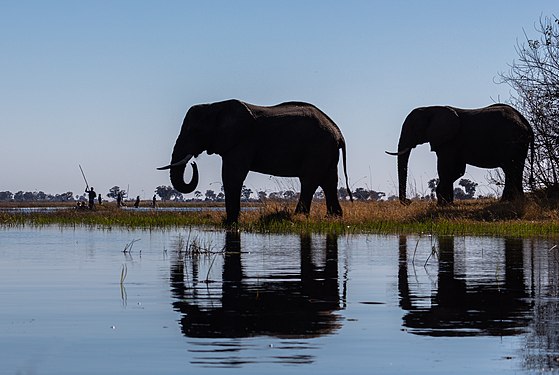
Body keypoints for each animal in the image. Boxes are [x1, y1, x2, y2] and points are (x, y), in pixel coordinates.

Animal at [158, 98, 352, 225]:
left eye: (196, 131)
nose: (193, 162)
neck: (215, 106)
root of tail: (339, 133)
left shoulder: (242, 142)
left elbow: (232, 177)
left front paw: (231, 223)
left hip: (317, 147)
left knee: (309, 181)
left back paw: (298, 217)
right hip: (326, 150)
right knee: (329, 182)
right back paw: (333, 218)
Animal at [388, 104, 536, 206]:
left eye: (412, 128)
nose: (408, 201)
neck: (431, 108)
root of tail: (526, 123)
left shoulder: (448, 141)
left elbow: (445, 168)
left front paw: (442, 205)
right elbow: (458, 171)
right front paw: (446, 203)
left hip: (511, 142)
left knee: (510, 169)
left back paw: (506, 201)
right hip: (519, 144)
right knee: (516, 169)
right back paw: (515, 201)